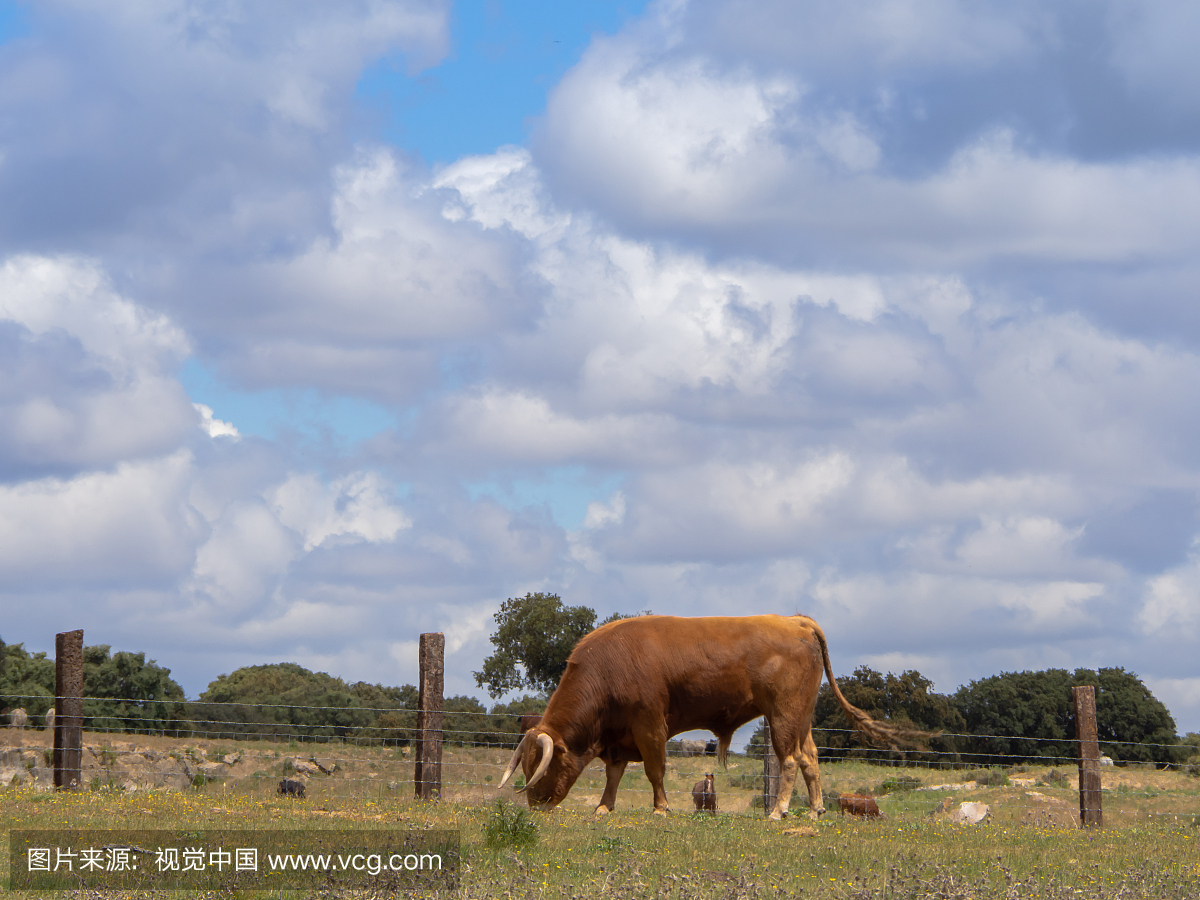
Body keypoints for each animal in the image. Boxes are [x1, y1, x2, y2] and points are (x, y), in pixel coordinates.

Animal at [496, 619, 916, 820]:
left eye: (542, 765)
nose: (534, 804)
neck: (606, 667)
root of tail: (795, 621)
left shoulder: (650, 725)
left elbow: (654, 769)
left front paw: (661, 808)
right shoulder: (619, 738)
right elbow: (614, 774)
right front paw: (603, 806)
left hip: (783, 716)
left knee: (790, 761)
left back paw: (778, 811)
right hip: (802, 718)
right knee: (810, 758)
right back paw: (814, 810)